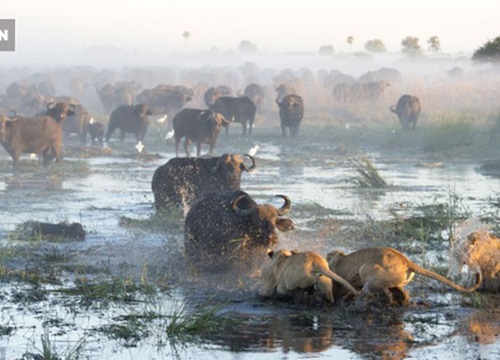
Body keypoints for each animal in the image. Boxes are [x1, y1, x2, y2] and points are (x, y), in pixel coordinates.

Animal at [326, 246, 482, 306]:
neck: (339, 258)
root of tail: (406, 261)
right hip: (395, 279)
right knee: (398, 291)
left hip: (367, 269)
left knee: (373, 287)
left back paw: (362, 296)